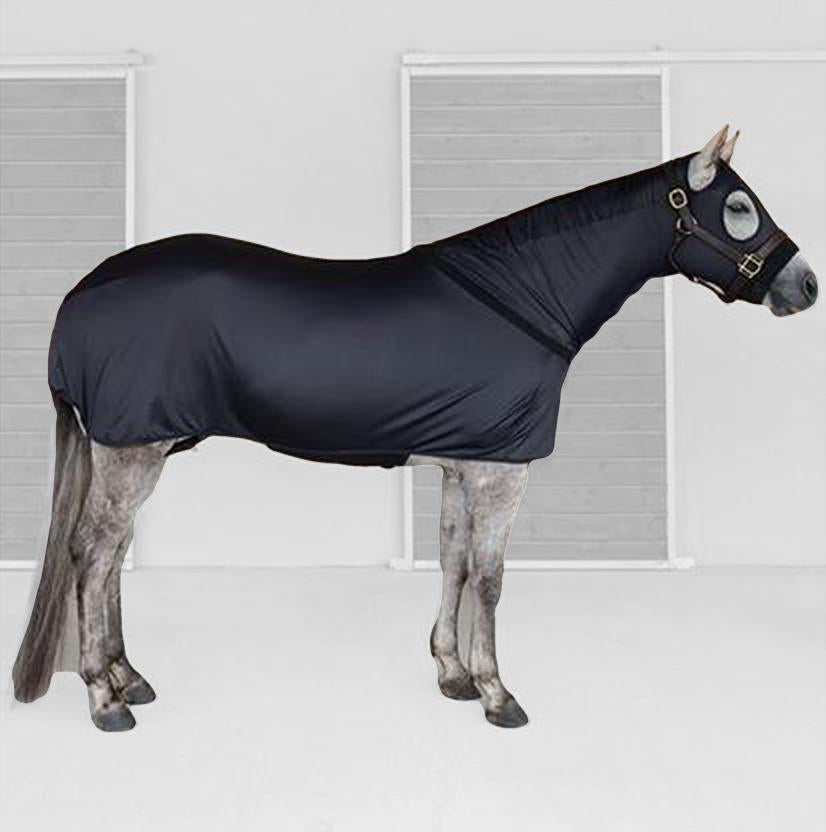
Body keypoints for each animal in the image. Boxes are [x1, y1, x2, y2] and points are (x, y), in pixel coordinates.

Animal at [12, 126, 818, 732]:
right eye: (738, 206)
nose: (805, 285)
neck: (519, 299)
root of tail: (84, 293)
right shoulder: (501, 472)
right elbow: (490, 578)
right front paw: (498, 694)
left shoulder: (464, 464)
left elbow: (453, 563)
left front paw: (452, 674)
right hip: (134, 450)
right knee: (94, 553)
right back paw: (105, 698)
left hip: (135, 449)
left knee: (111, 557)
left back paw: (131, 678)